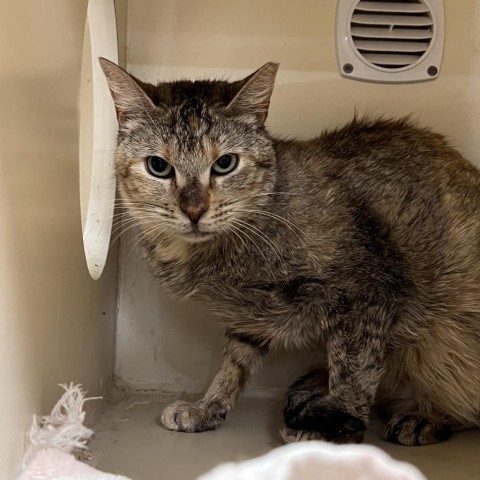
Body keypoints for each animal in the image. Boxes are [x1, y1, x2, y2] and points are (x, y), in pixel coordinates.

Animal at [99, 59, 480, 446]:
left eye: (225, 164)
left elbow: (353, 371)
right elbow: (233, 363)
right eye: (158, 167)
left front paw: (337, 426)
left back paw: (422, 417)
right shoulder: (250, 317)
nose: (194, 210)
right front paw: (208, 407)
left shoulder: (370, 291)